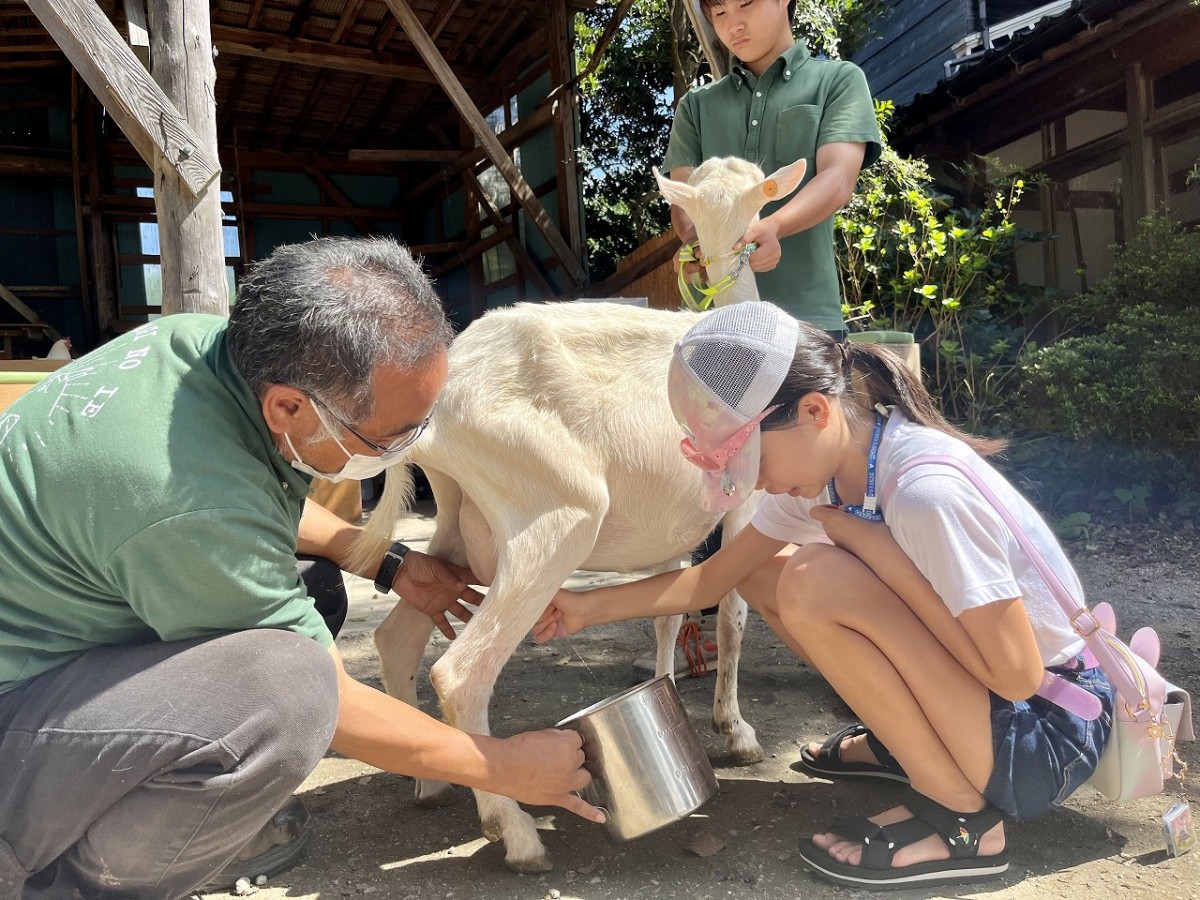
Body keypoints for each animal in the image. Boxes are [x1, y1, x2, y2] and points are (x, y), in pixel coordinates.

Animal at [350, 157, 806, 873]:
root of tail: (436, 405)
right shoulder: (745, 502)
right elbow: (731, 614)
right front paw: (737, 732)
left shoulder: (669, 534)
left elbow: (666, 612)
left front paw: (667, 693)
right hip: (554, 513)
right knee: (460, 672)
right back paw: (515, 834)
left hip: (459, 526)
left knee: (398, 638)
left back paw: (430, 783)